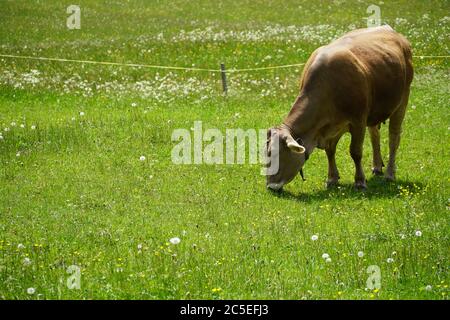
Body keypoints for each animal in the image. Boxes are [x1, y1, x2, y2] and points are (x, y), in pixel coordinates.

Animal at [266, 26, 414, 191]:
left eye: (275, 154)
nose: (270, 186)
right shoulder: (331, 126)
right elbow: (330, 151)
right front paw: (332, 178)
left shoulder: (358, 121)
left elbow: (355, 152)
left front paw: (360, 181)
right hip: (374, 110)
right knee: (374, 134)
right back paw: (377, 167)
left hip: (402, 100)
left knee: (394, 138)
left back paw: (389, 173)